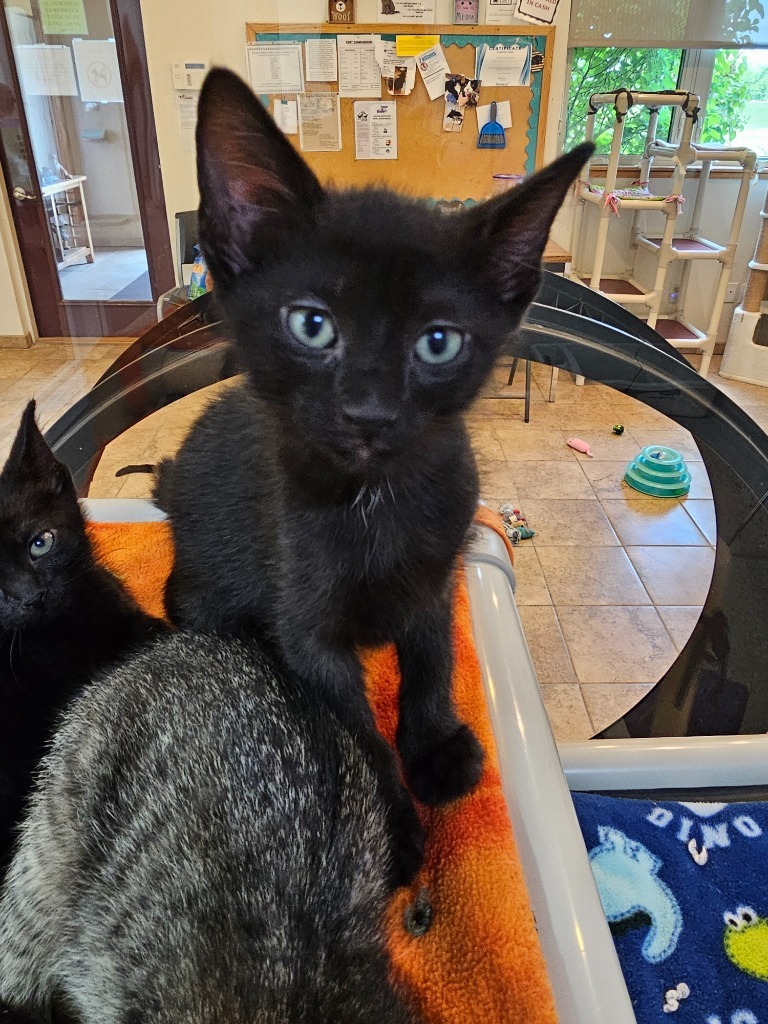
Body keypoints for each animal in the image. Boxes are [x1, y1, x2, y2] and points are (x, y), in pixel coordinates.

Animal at [154, 70, 589, 856]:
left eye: (438, 342)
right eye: (311, 325)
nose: (370, 412)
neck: (376, 500)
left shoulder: (440, 577)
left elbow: (434, 661)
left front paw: (437, 747)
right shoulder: (305, 625)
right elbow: (353, 726)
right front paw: (393, 826)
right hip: (205, 595)